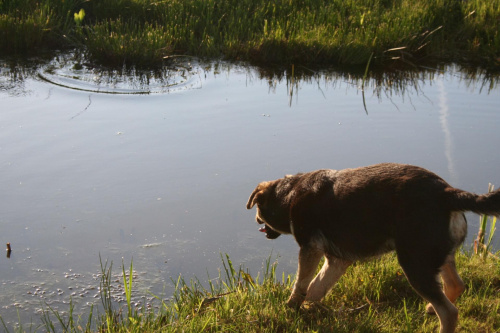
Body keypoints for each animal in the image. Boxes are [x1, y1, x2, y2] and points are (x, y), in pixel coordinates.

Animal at [246, 162, 500, 330]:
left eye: (258, 209)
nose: (256, 221)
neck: (289, 193)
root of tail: (446, 192)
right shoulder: (337, 259)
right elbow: (317, 286)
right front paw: (307, 309)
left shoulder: (311, 248)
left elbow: (302, 284)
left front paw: (290, 308)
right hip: (435, 255)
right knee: (456, 286)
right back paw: (431, 308)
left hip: (415, 263)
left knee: (449, 312)